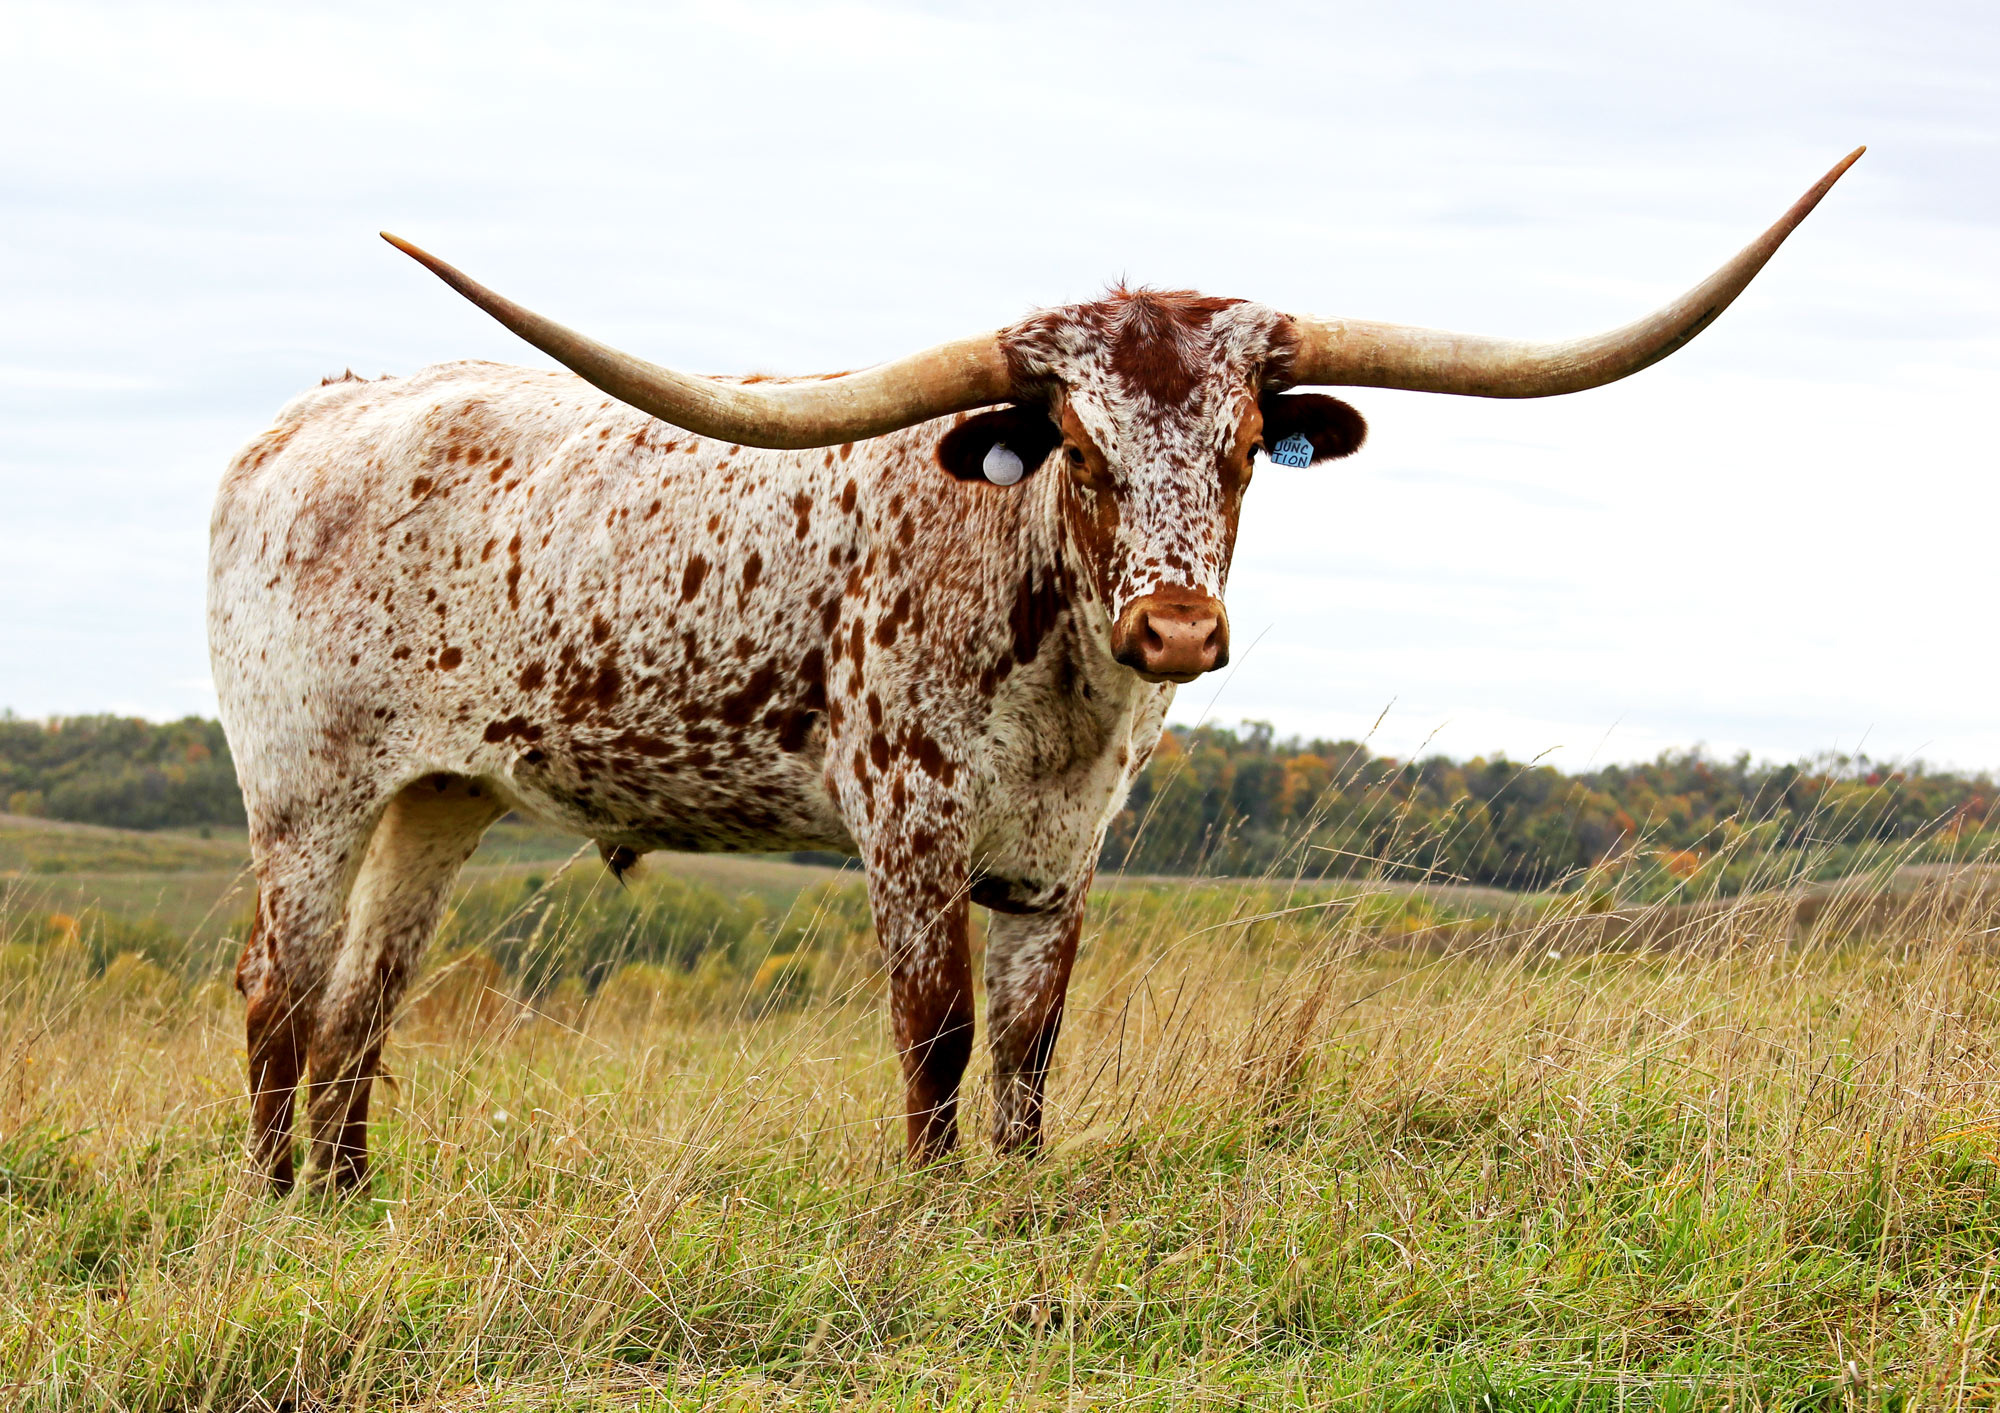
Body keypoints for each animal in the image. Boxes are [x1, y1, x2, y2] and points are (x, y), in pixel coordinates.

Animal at [215, 146, 1856, 1184]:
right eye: (1075, 443)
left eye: (1246, 444)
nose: (1176, 630)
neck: (1064, 679)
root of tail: (304, 420)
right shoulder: (908, 829)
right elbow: (937, 1037)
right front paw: (932, 1210)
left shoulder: (1060, 854)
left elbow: (1028, 1045)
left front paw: (1008, 1201)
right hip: (306, 792)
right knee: (281, 992)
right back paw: (278, 1204)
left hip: (437, 797)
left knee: (362, 1003)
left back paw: (351, 1196)